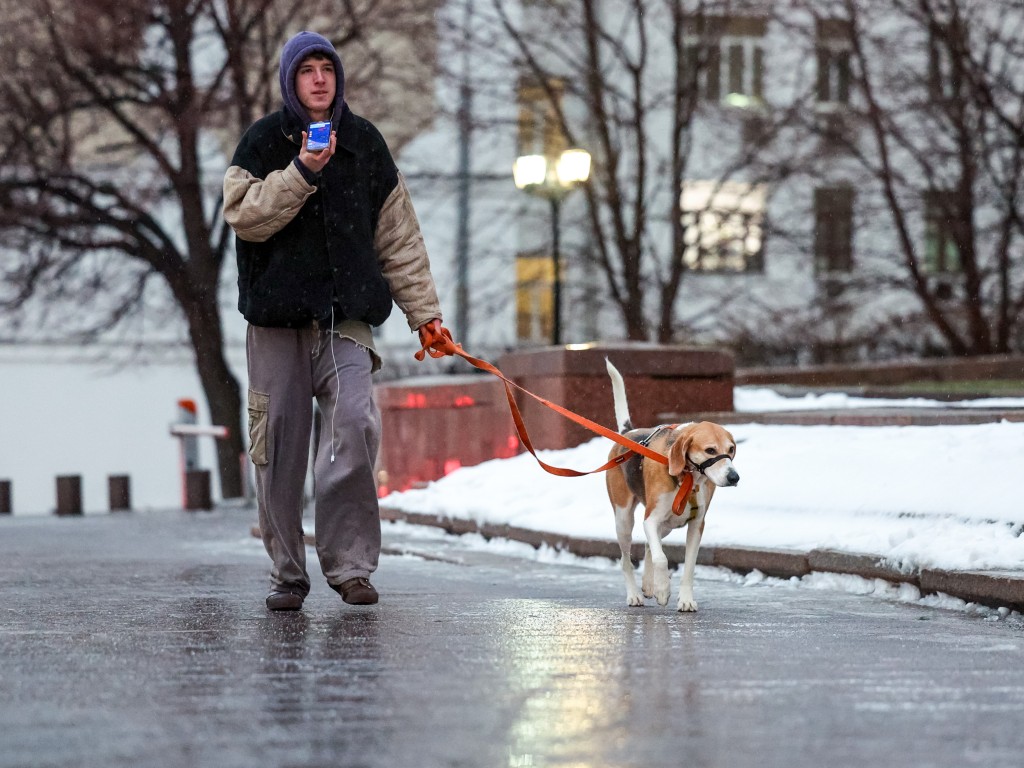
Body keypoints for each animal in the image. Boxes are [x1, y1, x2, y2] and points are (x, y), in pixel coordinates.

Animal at [602, 360, 741, 614]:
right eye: (710, 450)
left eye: (731, 449)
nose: (734, 477)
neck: (689, 479)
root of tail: (628, 433)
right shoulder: (651, 519)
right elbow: (662, 558)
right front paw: (663, 590)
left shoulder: (696, 525)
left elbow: (688, 565)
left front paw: (685, 599)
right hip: (624, 519)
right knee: (626, 559)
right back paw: (635, 594)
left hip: (667, 525)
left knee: (649, 545)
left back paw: (648, 584)